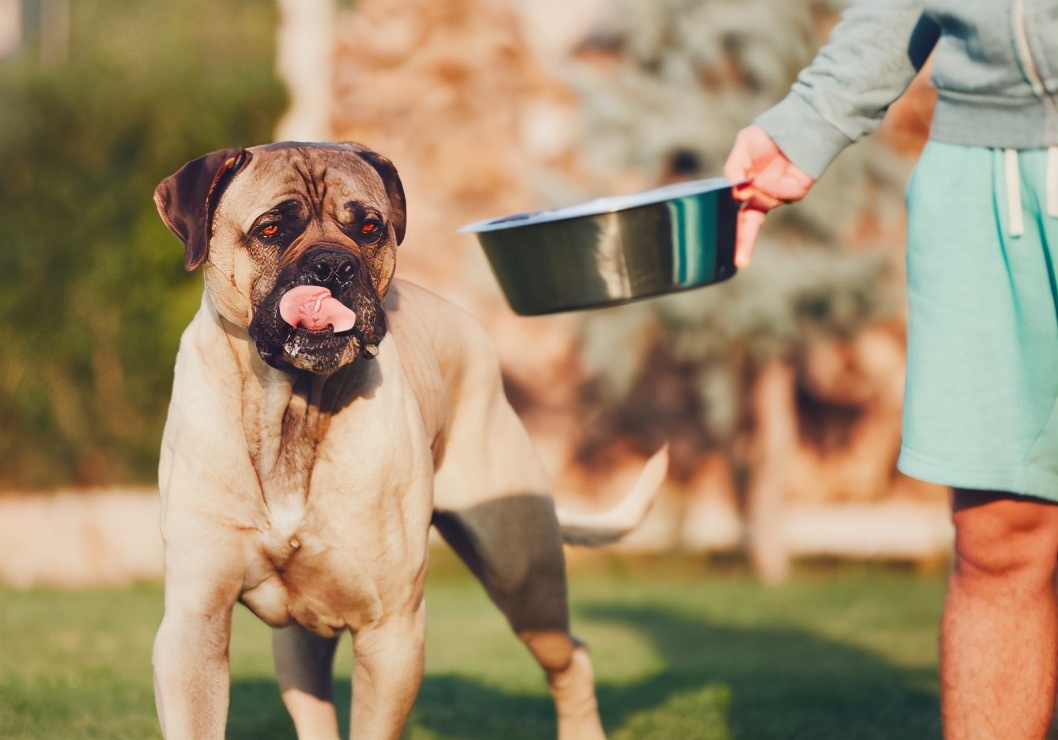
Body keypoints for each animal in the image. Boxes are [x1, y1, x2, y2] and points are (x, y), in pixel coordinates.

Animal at [153, 140, 664, 740]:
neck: (292, 410)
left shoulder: (391, 629)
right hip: (300, 640)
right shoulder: (195, 624)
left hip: (523, 579)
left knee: (570, 658)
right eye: (272, 228)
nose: (334, 265)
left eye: (370, 227)